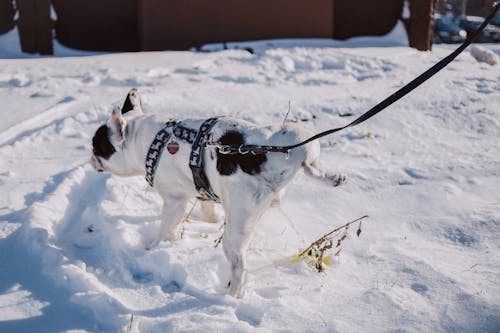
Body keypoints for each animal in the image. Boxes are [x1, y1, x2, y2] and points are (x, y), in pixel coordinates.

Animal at [92, 88, 346, 296]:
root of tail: (279, 156)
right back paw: (333, 177)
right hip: (301, 138)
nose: (91, 158)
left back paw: (230, 295)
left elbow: (165, 229)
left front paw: (152, 248)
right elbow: (208, 210)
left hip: (238, 222)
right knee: (313, 163)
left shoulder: (174, 200)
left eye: (97, 146)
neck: (145, 139)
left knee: (239, 265)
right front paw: (208, 220)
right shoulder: (202, 189)